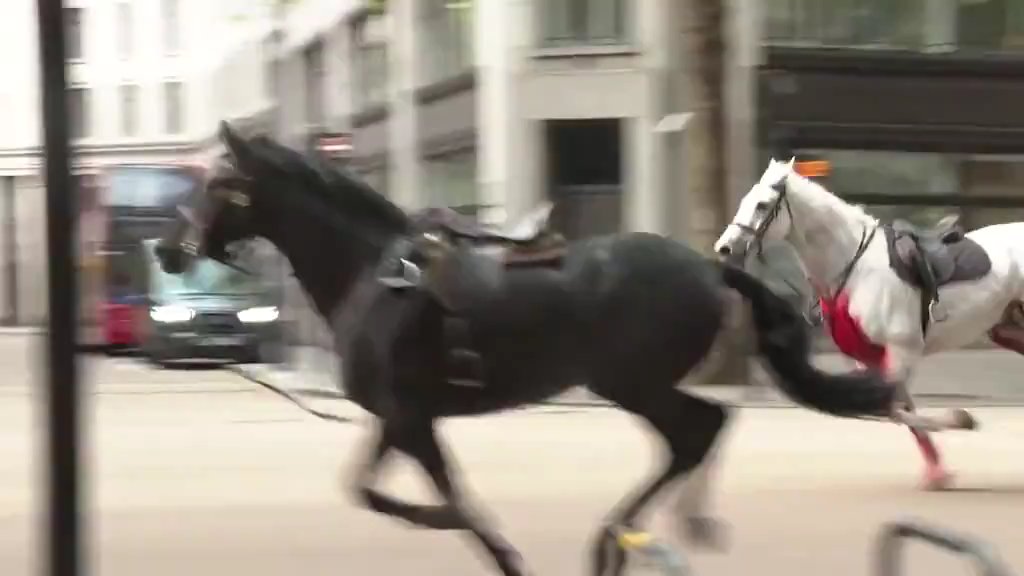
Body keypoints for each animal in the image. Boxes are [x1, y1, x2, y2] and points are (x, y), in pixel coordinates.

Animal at [155, 121, 901, 573]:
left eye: (219, 184)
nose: (168, 249)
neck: (372, 273)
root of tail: (711, 268)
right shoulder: (402, 419)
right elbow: (376, 490)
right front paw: (482, 537)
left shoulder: (408, 418)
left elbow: (421, 498)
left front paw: (480, 535)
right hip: (630, 384)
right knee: (699, 434)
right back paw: (653, 530)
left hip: (630, 382)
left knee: (701, 428)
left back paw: (626, 536)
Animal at [712, 156, 1024, 487]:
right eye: (746, 199)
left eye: (762, 204)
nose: (724, 247)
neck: (858, 270)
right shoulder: (869, 359)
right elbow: (895, 408)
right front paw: (938, 472)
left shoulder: (901, 350)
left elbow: (894, 408)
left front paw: (960, 420)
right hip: (1009, 326)